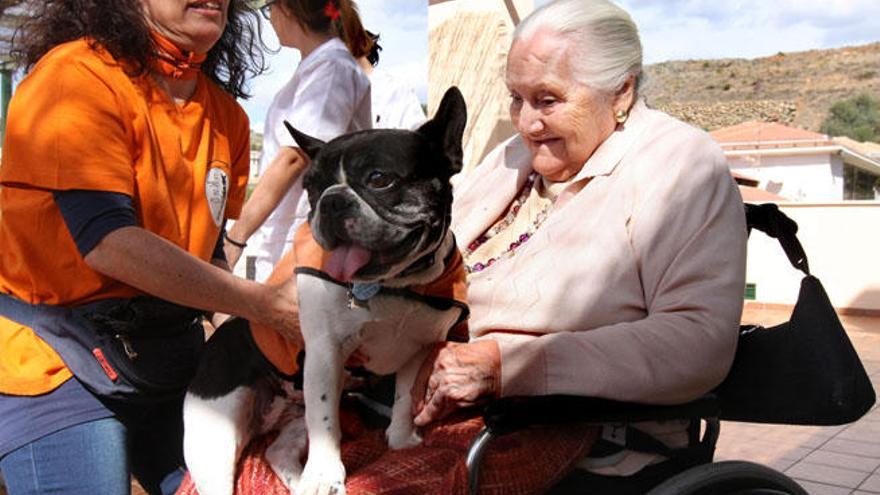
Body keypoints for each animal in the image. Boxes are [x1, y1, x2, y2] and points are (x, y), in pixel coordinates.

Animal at [186, 87, 470, 494]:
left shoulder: (417, 352)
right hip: (215, 433)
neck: (394, 286)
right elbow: (325, 424)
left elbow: (403, 399)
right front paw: (324, 475)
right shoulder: (325, 352)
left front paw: (400, 439)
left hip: (290, 422)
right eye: (311, 188)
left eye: (379, 179)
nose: (331, 198)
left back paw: (297, 481)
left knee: (277, 451)